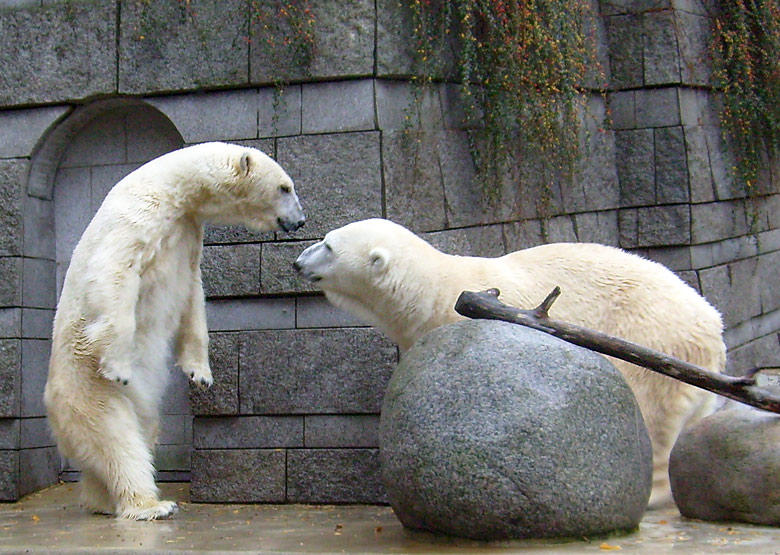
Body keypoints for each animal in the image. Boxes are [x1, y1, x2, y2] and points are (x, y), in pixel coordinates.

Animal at [42, 141, 304, 520]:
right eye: (285, 187)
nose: (300, 220)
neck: (173, 188)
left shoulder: (189, 232)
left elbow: (192, 298)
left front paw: (201, 374)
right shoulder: (138, 216)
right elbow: (114, 272)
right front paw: (119, 366)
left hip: (137, 408)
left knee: (140, 435)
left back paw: (102, 500)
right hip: (86, 390)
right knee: (117, 440)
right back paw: (152, 504)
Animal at [292, 217, 724, 508]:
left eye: (328, 246)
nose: (297, 262)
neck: (433, 291)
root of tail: (713, 326)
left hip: (651, 337)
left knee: (646, 409)